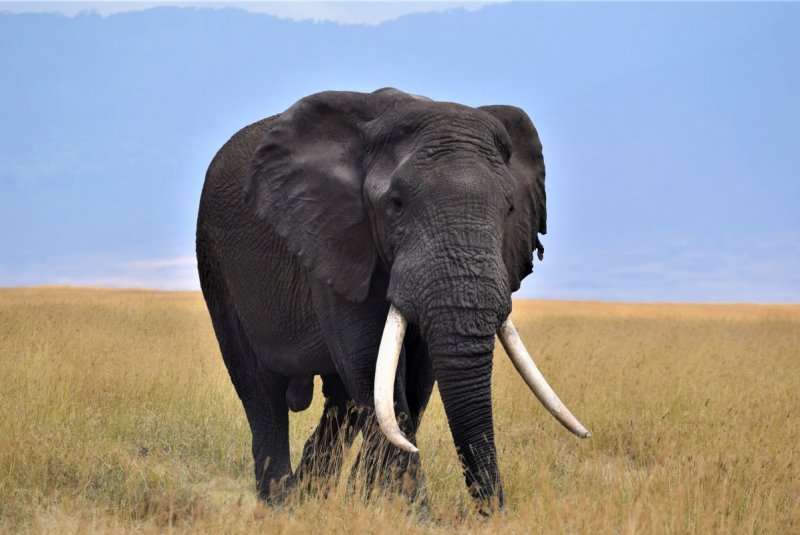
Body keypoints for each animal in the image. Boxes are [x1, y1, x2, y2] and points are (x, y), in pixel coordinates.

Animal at [195, 88, 589, 513]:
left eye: (510, 208)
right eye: (395, 204)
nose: (491, 515)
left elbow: (415, 382)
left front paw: (378, 507)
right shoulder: (337, 237)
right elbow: (373, 367)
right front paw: (415, 517)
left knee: (342, 401)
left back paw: (313, 498)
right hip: (216, 265)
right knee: (260, 391)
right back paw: (282, 506)